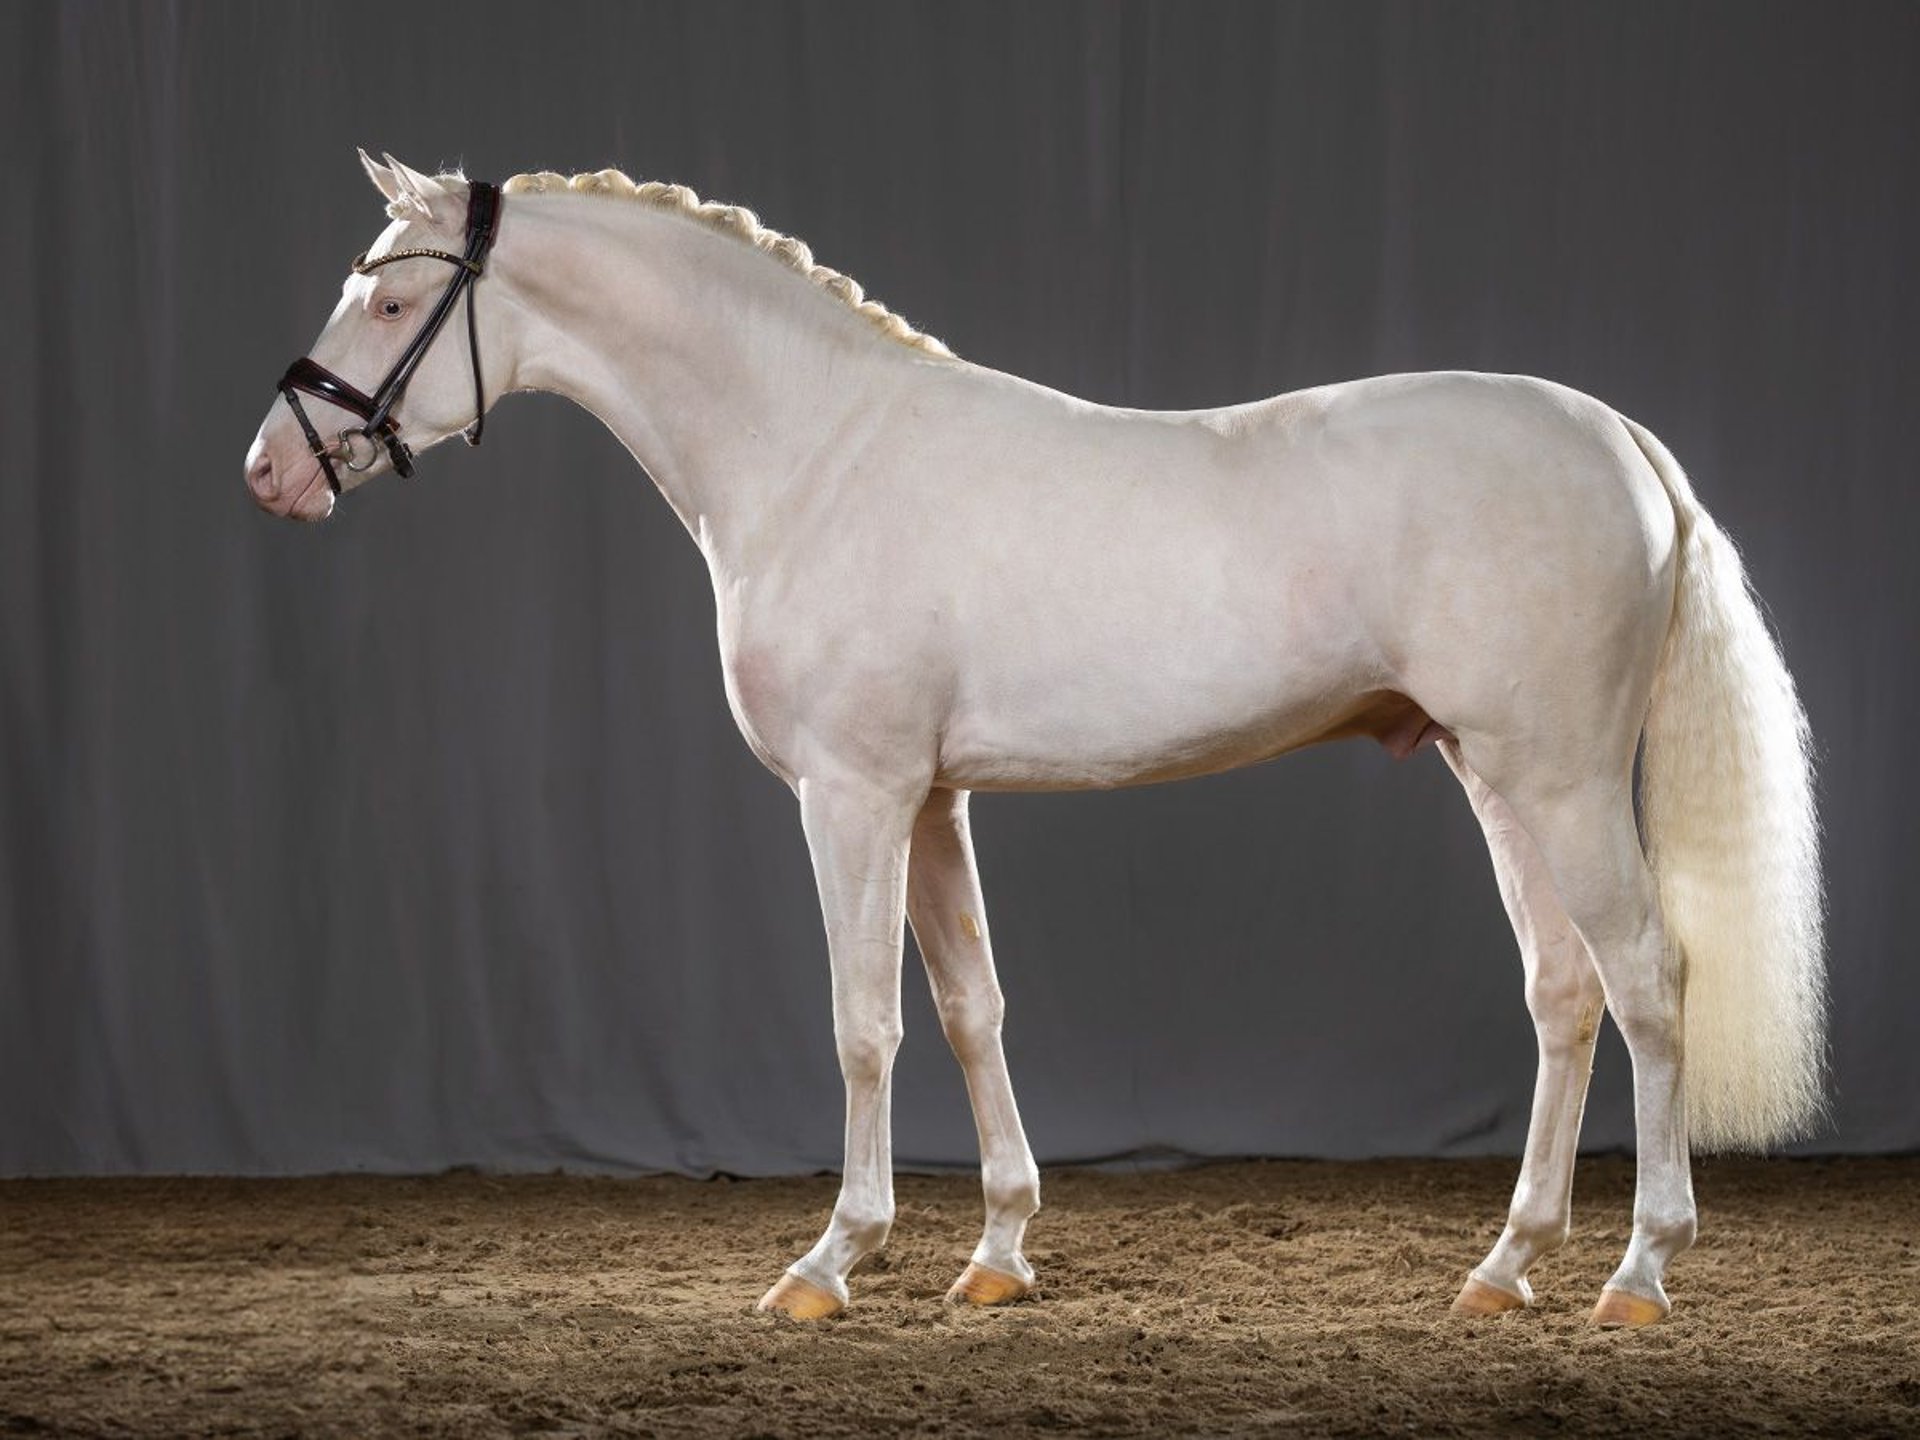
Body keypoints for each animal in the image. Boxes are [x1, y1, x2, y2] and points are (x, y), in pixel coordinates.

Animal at [247, 157, 1820, 1328]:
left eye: (391, 295)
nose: (271, 471)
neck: (815, 455)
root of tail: (1620, 441)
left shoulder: (854, 796)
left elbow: (864, 1023)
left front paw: (830, 1261)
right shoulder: (933, 800)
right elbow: (968, 1008)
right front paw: (997, 1252)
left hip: (1563, 780)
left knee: (1650, 979)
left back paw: (1638, 1274)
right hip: (1492, 772)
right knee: (1565, 990)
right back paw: (1506, 1268)